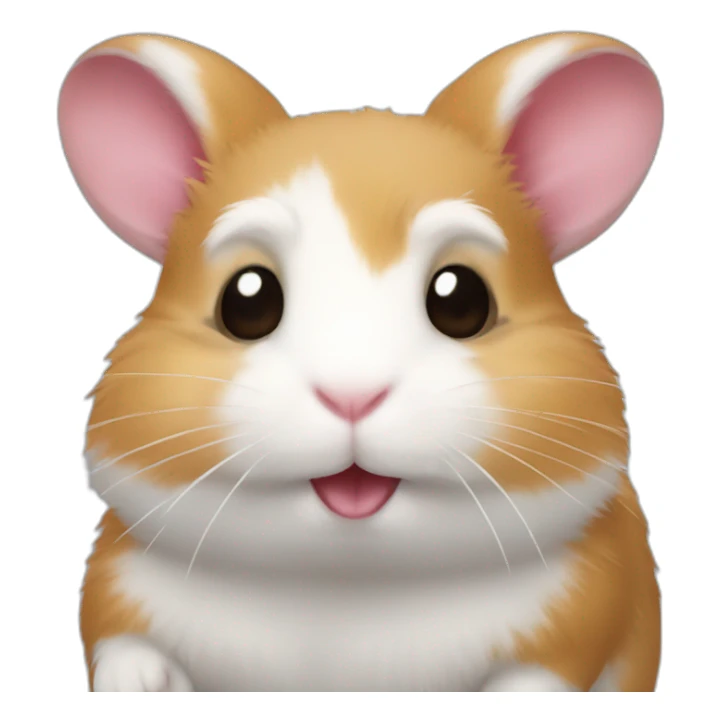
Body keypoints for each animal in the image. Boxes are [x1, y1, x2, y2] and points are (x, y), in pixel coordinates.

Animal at [57, 30, 663, 692]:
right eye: (247, 300)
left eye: (462, 300)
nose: (352, 395)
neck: (345, 585)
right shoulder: (114, 576)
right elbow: (116, 637)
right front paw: (140, 686)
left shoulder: (589, 604)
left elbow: (544, 673)